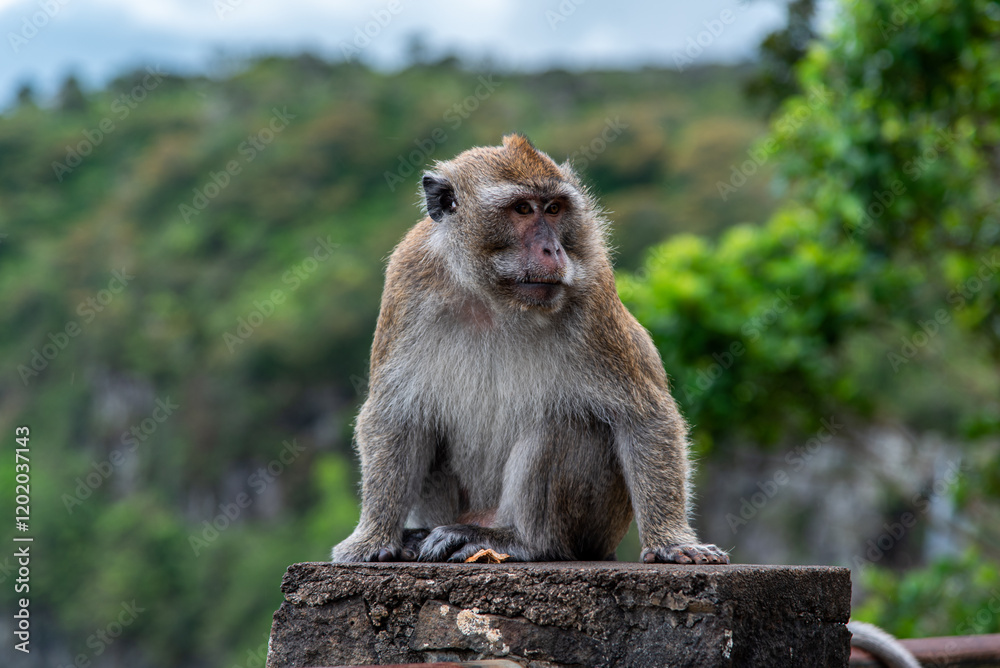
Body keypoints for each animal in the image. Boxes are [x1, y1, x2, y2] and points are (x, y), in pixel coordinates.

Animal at [331, 133, 729, 565]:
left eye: (554, 209)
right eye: (522, 209)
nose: (553, 250)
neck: (494, 299)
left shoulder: (594, 293)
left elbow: (644, 416)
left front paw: (673, 541)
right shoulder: (407, 281)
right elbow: (396, 416)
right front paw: (372, 539)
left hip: (594, 527)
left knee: (564, 423)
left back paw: (520, 540)